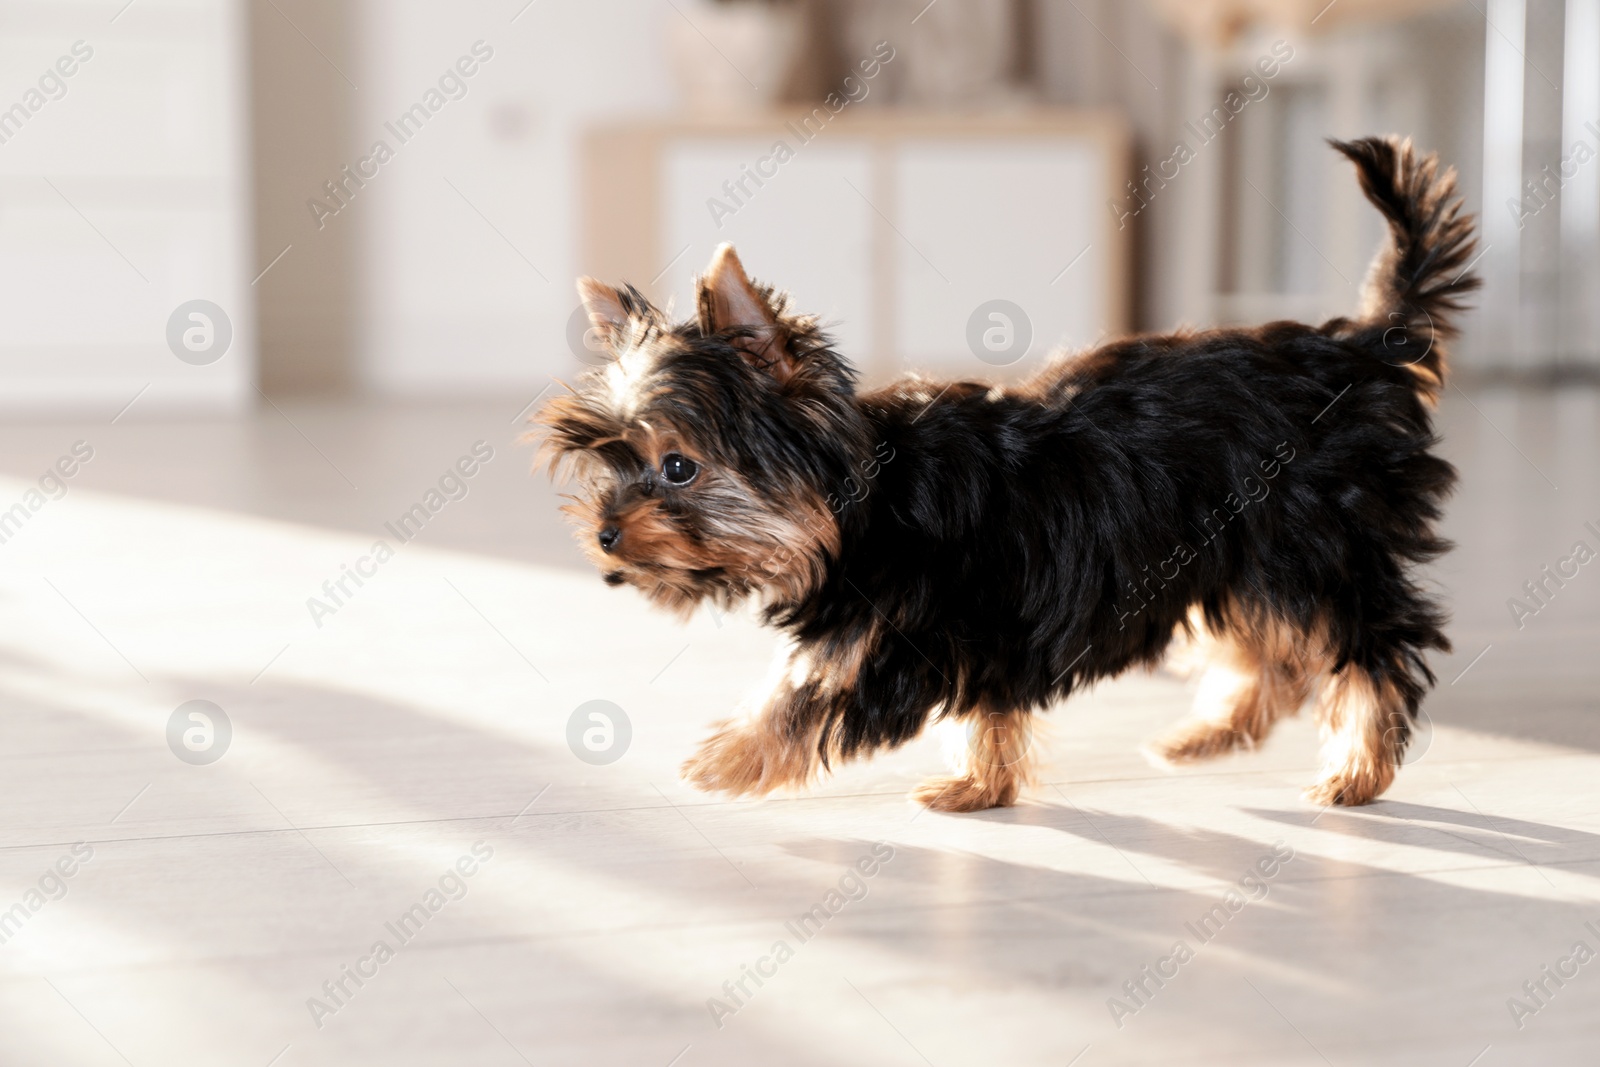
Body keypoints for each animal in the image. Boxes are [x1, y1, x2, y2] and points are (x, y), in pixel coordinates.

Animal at [544, 137, 1478, 812]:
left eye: (677, 465)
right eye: (614, 465)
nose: (605, 533)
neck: (865, 506)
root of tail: (1365, 347)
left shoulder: (900, 634)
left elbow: (808, 696)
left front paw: (725, 756)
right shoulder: (985, 623)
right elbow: (987, 712)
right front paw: (977, 785)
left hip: (1310, 538)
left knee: (1370, 644)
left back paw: (1355, 769)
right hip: (1236, 551)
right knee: (1269, 649)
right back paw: (1206, 735)